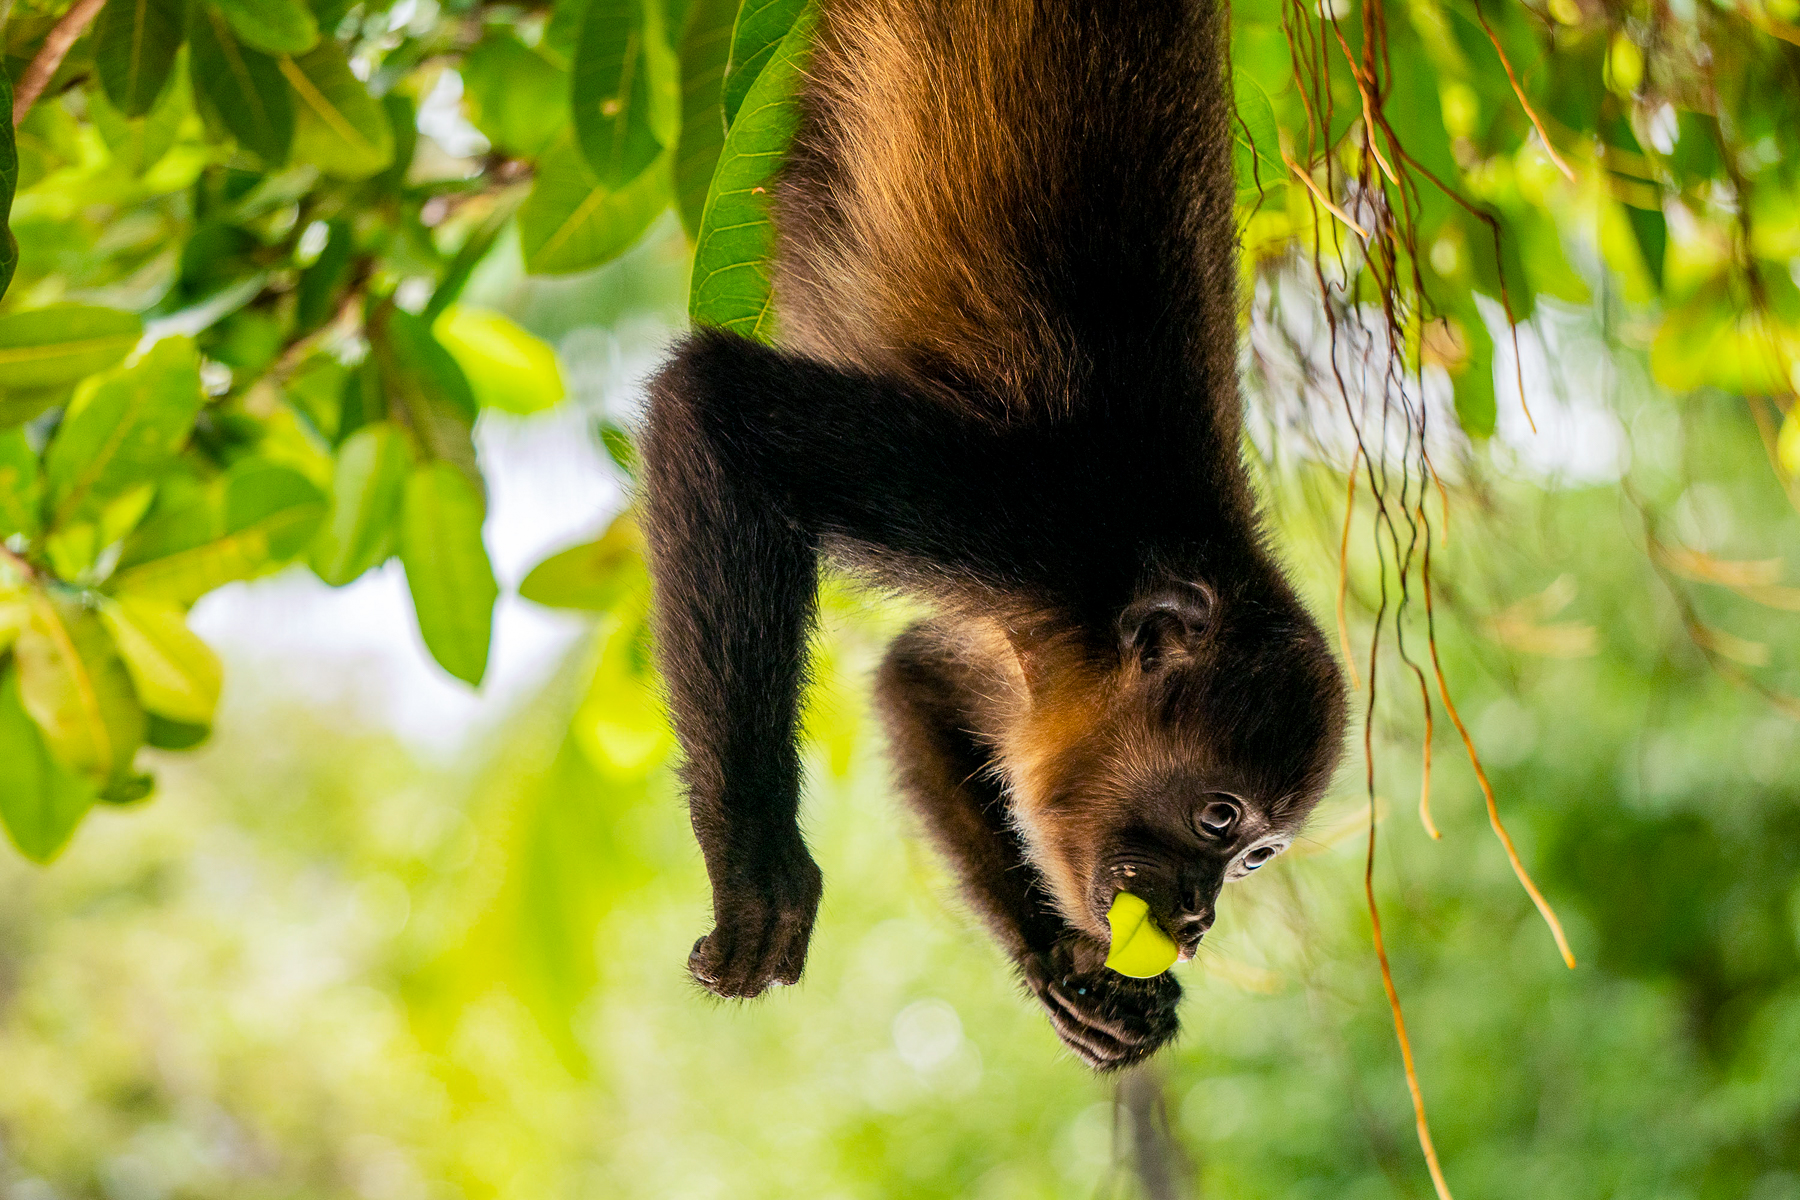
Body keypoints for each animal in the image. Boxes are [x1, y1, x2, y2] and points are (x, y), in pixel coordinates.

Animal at [638, 0, 1348, 1070]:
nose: (1197, 920)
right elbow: (712, 405)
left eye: (1260, 856)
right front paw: (760, 866)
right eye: (1219, 818)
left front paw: (1074, 976)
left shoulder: (1036, 655)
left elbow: (912, 682)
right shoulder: (1035, 518)